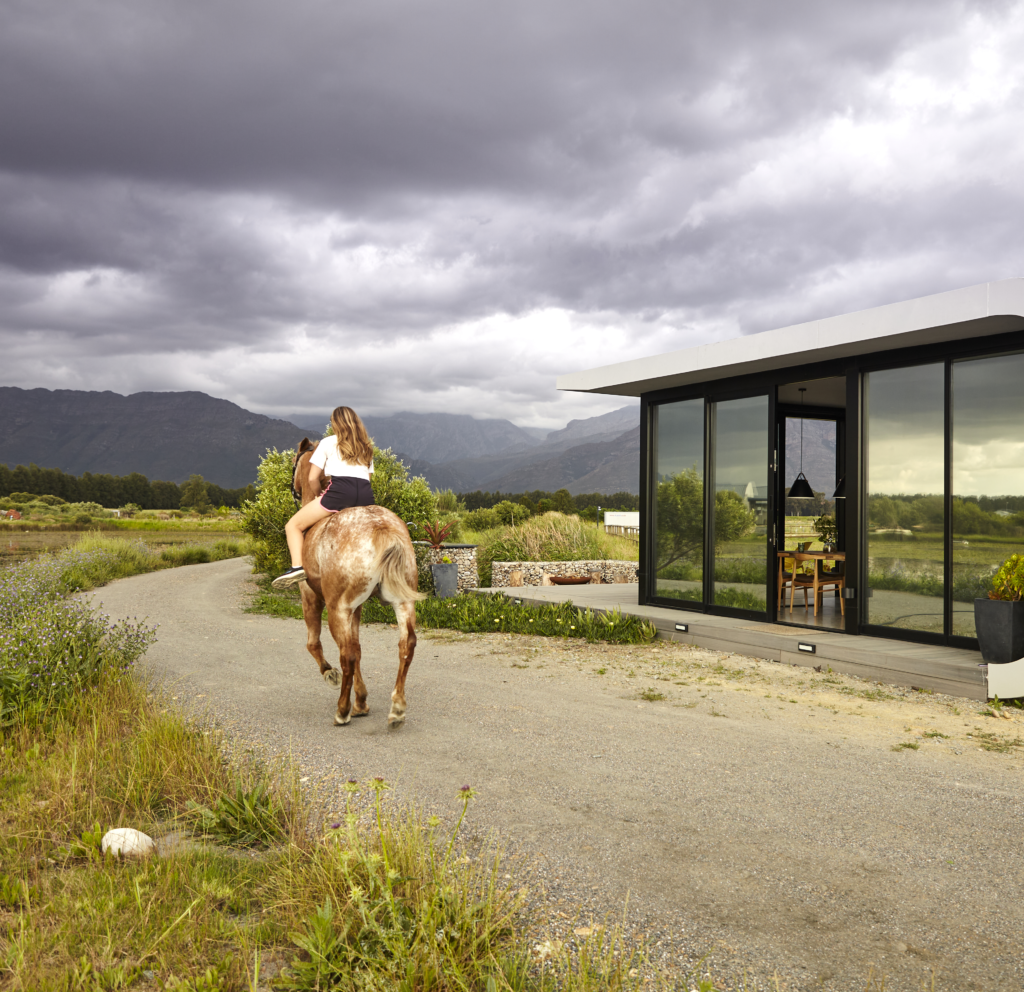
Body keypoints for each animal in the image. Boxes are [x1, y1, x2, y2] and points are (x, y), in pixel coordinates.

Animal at [290, 438, 421, 724]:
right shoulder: (357, 607)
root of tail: (381, 526)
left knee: (346, 655)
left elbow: (314, 644)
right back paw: (397, 707)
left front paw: (331, 675)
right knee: (406, 644)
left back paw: (342, 710)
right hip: (403, 602)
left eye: (294, 463)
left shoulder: (311, 597)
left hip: (337, 609)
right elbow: (359, 648)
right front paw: (361, 702)